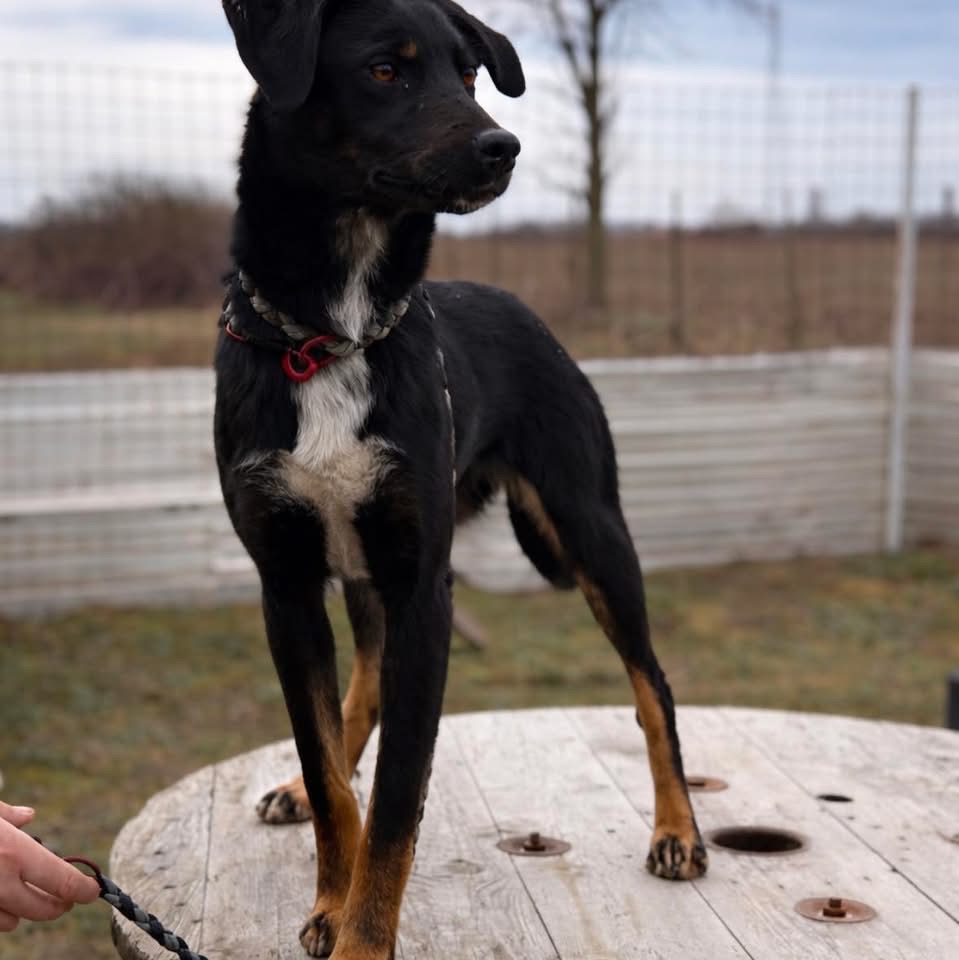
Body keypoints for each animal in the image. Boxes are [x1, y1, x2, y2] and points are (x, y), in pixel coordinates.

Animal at [215, 1, 707, 957]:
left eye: (470, 73)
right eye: (384, 70)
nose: (502, 146)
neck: (333, 334)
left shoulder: (423, 589)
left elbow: (398, 804)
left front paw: (363, 935)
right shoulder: (286, 584)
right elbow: (329, 774)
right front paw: (330, 899)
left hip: (589, 529)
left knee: (652, 687)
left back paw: (677, 831)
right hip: (369, 569)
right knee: (361, 692)